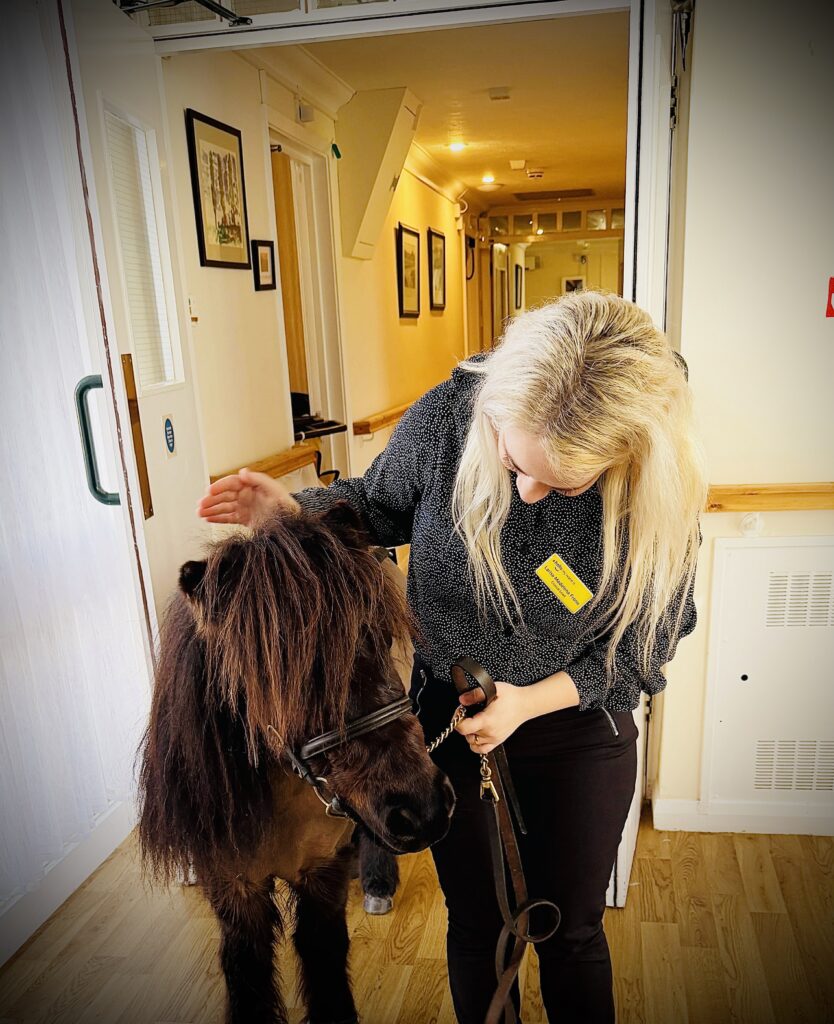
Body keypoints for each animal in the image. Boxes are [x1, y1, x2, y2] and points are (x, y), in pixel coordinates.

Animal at [138, 500, 454, 1024]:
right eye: (277, 676)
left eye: (380, 635)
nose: (424, 810)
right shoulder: (234, 888)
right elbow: (247, 973)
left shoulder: (320, 873)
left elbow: (324, 961)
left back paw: (376, 881)